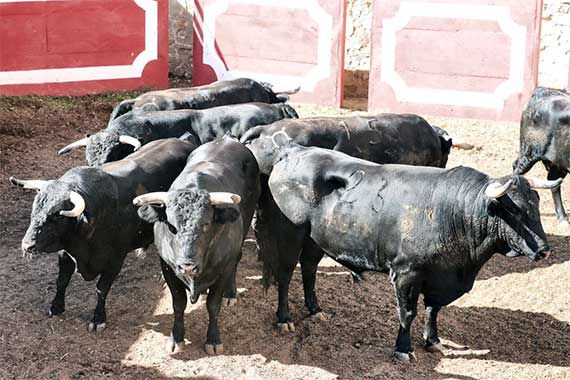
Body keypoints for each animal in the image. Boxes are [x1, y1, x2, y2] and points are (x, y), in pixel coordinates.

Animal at [8, 138, 194, 332]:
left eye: (57, 216)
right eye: (35, 209)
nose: (27, 245)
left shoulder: (115, 259)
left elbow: (101, 288)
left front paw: (98, 318)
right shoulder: (65, 253)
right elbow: (62, 280)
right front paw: (56, 306)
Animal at [270, 144, 556, 360]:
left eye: (536, 204)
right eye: (514, 210)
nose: (544, 250)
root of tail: (294, 150)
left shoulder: (441, 277)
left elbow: (433, 309)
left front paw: (433, 340)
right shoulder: (407, 273)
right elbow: (408, 313)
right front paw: (403, 349)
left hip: (315, 239)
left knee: (309, 267)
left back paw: (315, 310)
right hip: (290, 234)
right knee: (285, 273)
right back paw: (284, 318)